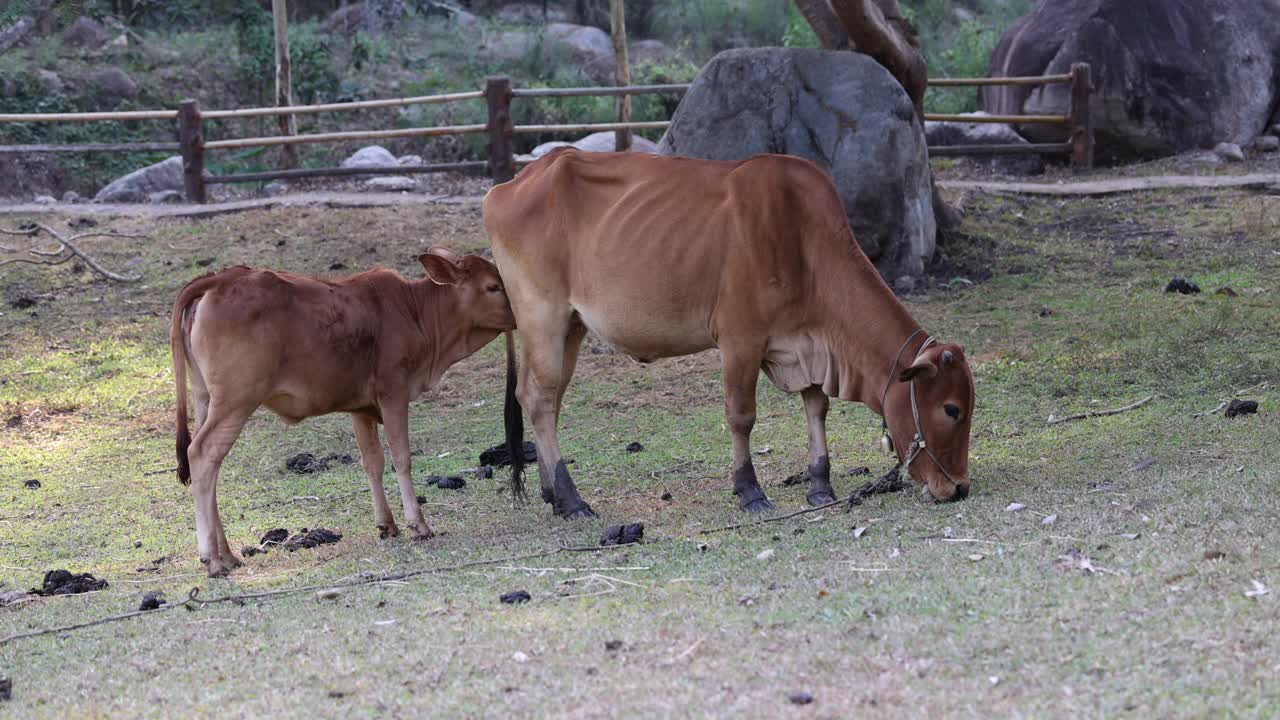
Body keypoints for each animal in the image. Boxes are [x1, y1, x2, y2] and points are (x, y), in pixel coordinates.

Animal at [168, 249, 514, 573]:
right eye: (493, 287)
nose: (518, 313)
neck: (415, 311)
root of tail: (218, 280)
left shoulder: (360, 407)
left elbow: (372, 462)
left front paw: (387, 524)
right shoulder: (394, 393)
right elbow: (401, 457)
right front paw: (418, 524)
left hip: (206, 400)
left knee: (208, 466)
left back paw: (226, 554)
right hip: (235, 401)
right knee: (201, 455)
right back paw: (212, 559)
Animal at [483, 148, 972, 515]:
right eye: (951, 409)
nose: (960, 487)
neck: (803, 244)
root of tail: (507, 186)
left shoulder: (807, 347)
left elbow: (816, 407)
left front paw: (820, 485)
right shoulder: (741, 340)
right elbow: (742, 416)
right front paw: (750, 491)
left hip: (571, 327)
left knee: (545, 399)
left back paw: (551, 491)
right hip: (543, 316)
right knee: (539, 398)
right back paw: (571, 499)